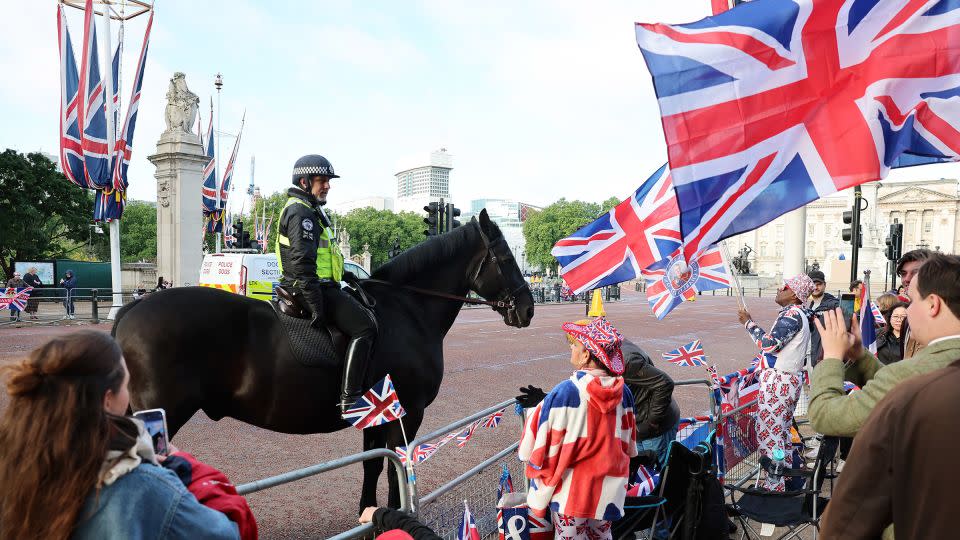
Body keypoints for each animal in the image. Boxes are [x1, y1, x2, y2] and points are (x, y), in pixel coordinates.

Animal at [114, 211, 532, 510]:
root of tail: (132, 308)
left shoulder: (377, 413)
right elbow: (398, 466)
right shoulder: (407, 412)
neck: (408, 307)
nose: (528, 307)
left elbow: (373, 463)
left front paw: (369, 514)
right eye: (506, 256)